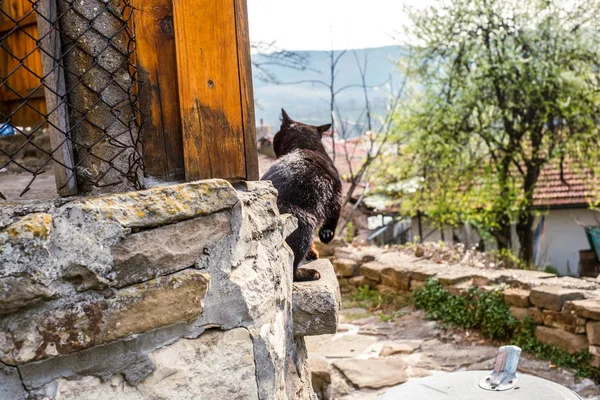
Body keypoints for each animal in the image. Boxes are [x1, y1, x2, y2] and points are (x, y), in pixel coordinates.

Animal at [262, 109, 342, 282]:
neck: (302, 146)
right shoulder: (336, 194)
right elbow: (333, 219)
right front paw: (326, 236)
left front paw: (313, 252)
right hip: (304, 224)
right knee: (290, 269)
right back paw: (309, 273)